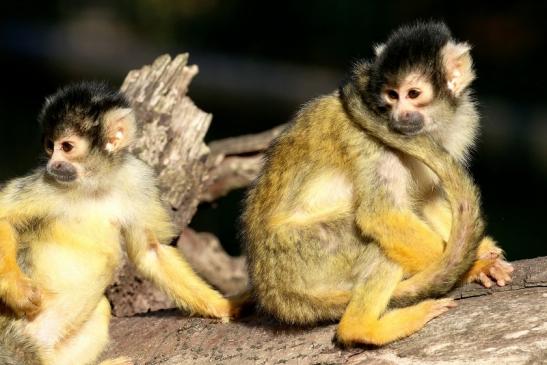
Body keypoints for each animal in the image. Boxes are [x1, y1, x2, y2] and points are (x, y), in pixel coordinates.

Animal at [0, 82, 242, 364]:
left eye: (66, 147)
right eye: (50, 147)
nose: (53, 163)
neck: (94, 184)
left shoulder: (138, 178)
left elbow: (151, 251)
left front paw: (223, 306)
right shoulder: (45, 182)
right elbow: (3, 216)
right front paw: (18, 291)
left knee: (102, 308)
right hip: (12, 339)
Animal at [243, 21, 512, 346]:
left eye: (413, 93)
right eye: (391, 96)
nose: (399, 114)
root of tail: (271, 292)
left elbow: (428, 198)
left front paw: (483, 250)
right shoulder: (373, 139)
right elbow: (381, 214)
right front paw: (473, 267)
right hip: (301, 255)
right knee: (373, 240)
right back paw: (363, 327)